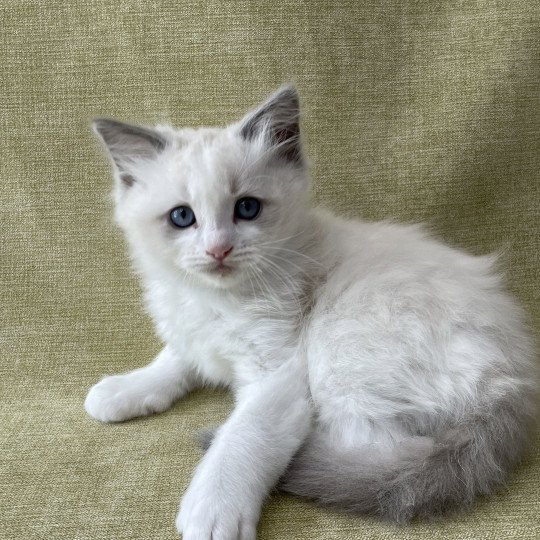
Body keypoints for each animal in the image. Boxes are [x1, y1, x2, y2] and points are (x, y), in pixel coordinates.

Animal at [84, 87, 536, 540]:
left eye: (247, 208)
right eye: (182, 217)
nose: (219, 250)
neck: (216, 301)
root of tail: (514, 381)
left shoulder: (277, 373)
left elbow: (244, 435)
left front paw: (212, 508)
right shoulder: (194, 334)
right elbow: (173, 360)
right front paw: (123, 391)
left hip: (337, 351)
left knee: (386, 458)